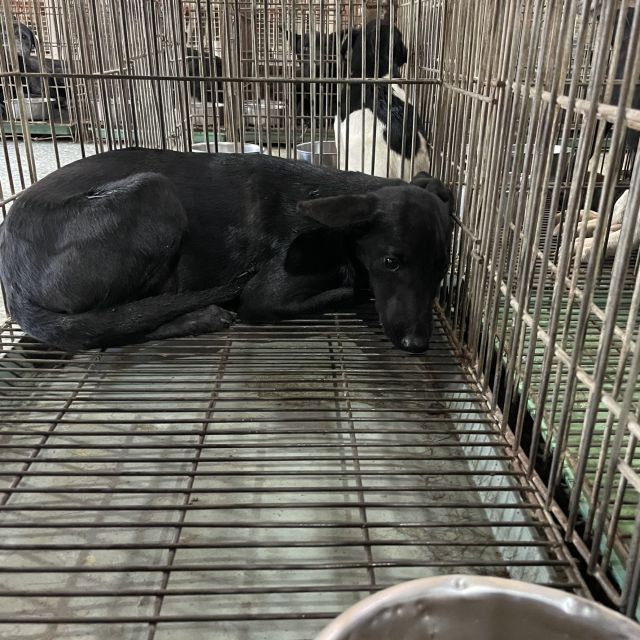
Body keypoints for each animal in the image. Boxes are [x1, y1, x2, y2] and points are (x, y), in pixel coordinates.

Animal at [0, 149, 453, 353]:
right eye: (390, 262)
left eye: (440, 272)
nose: (417, 344)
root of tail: (12, 283)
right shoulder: (265, 295)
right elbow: (346, 285)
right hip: (154, 192)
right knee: (116, 323)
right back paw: (198, 317)